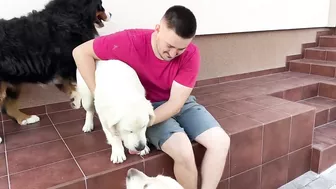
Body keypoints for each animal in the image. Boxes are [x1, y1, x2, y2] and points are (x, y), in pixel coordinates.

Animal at [0, 0, 111, 131]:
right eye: (100, 5)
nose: (110, 14)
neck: (72, 16)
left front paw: (75, 100)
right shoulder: (71, 65)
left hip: (14, 83)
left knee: (8, 106)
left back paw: (27, 119)